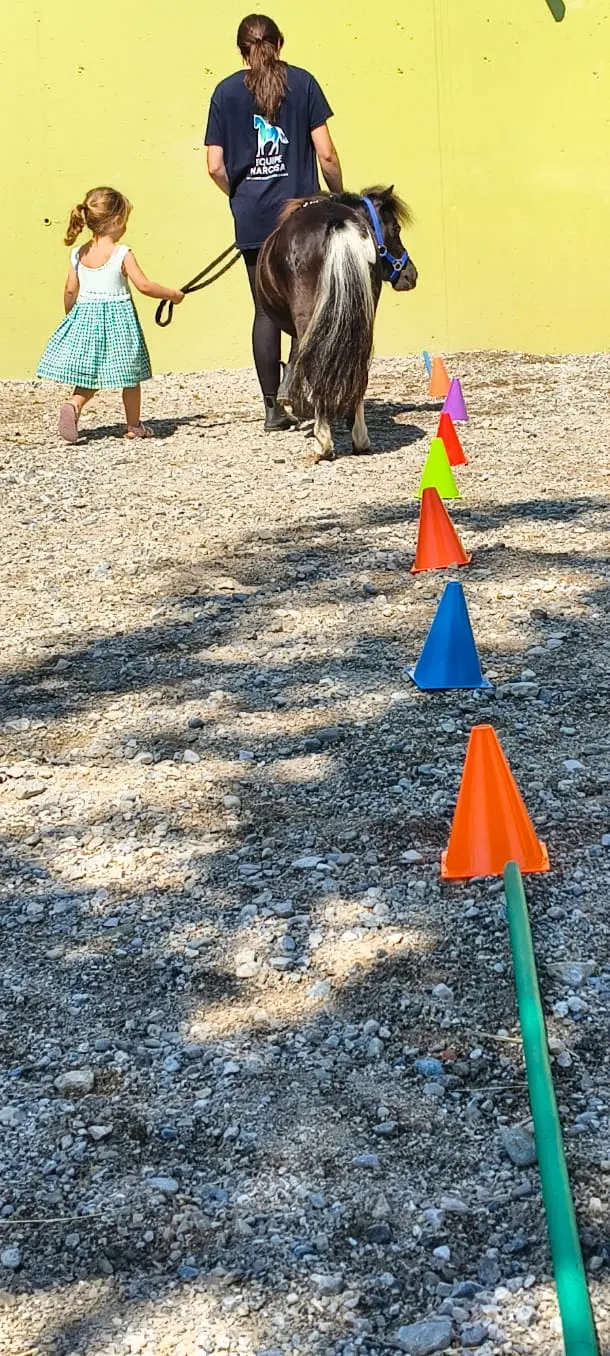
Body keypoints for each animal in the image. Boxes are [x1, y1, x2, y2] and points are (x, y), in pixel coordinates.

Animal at [256, 187, 417, 462]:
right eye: (396, 228)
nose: (411, 275)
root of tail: (336, 222)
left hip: (307, 315)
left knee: (316, 365)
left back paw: (323, 444)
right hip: (364, 316)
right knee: (360, 369)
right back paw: (360, 439)